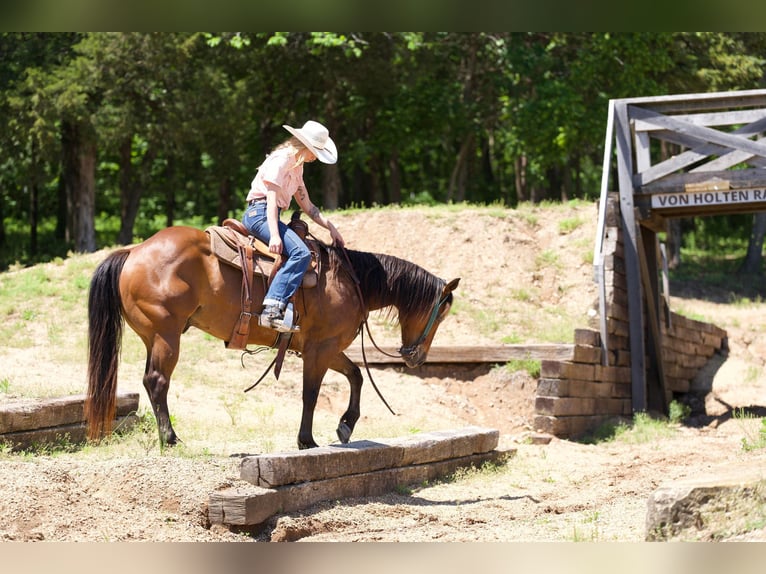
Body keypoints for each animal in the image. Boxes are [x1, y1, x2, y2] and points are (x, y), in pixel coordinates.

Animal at [85, 225, 460, 450]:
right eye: (441, 313)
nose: (415, 357)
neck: (349, 281)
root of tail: (133, 252)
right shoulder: (320, 349)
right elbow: (311, 394)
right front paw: (306, 440)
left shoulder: (325, 348)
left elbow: (355, 376)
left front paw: (346, 426)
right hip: (167, 335)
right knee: (158, 381)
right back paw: (171, 437)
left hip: (155, 337)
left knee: (150, 381)